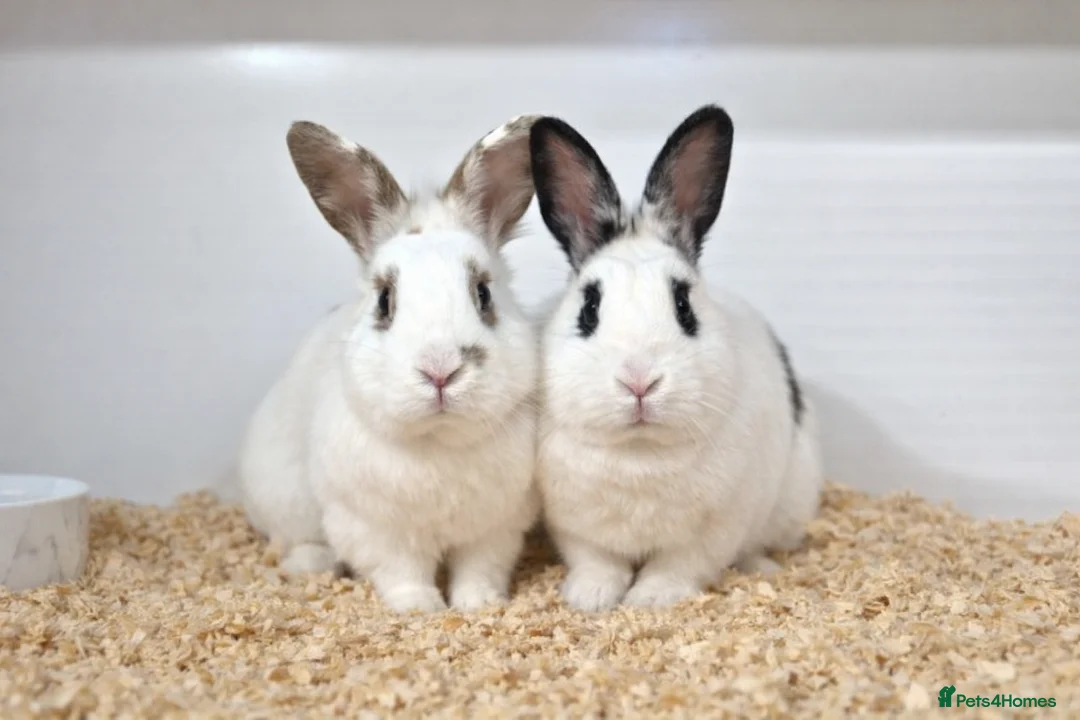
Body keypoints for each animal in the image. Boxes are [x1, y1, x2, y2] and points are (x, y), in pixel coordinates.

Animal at [238, 114, 543, 613]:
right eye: (384, 300)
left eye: (483, 293)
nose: (440, 371)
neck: (438, 442)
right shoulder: (374, 530)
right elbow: (402, 572)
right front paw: (420, 608)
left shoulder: (495, 529)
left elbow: (479, 569)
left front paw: (478, 605)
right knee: (298, 539)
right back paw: (311, 566)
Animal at [527, 105, 824, 611]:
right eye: (589, 307)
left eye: (683, 305)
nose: (639, 381)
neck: (639, 453)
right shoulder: (577, 529)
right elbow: (597, 563)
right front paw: (591, 598)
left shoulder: (713, 531)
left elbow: (678, 567)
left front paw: (649, 600)